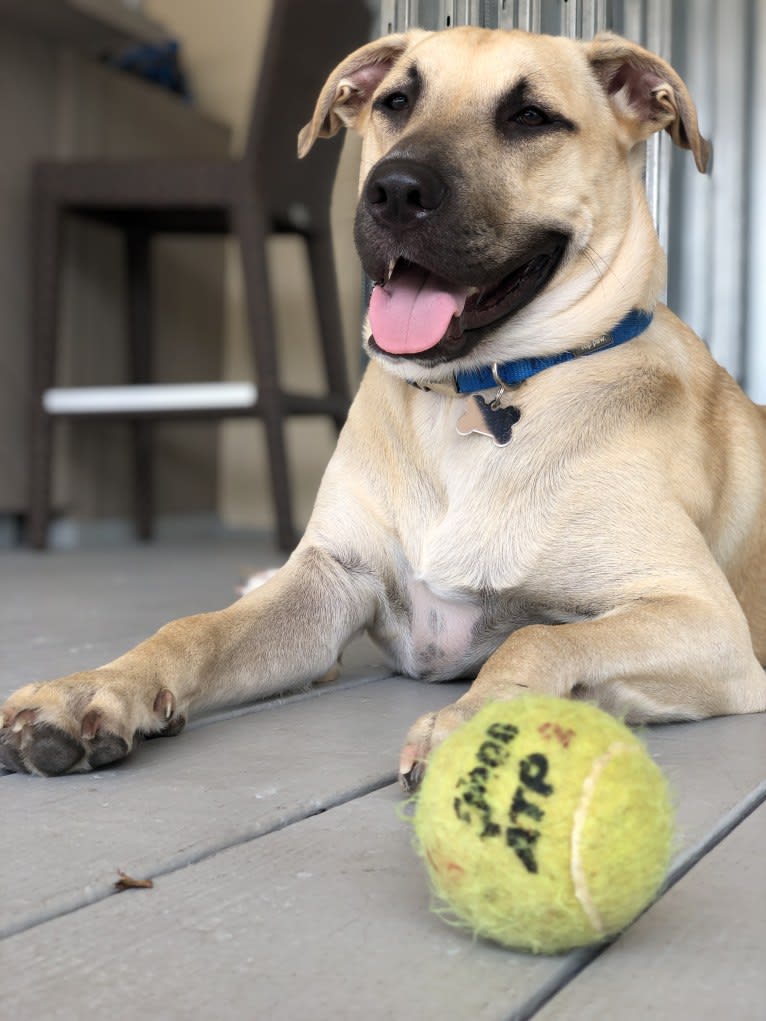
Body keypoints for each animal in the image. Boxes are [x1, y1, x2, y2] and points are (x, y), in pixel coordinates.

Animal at [1, 29, 766, 780]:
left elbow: (538, 639)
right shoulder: (331, 583)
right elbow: (192, 628)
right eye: (396, 101)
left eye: (531, 117)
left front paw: (475, 732)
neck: (470, 397)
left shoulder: (703, 620)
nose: (394, 191)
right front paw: (91, 688)